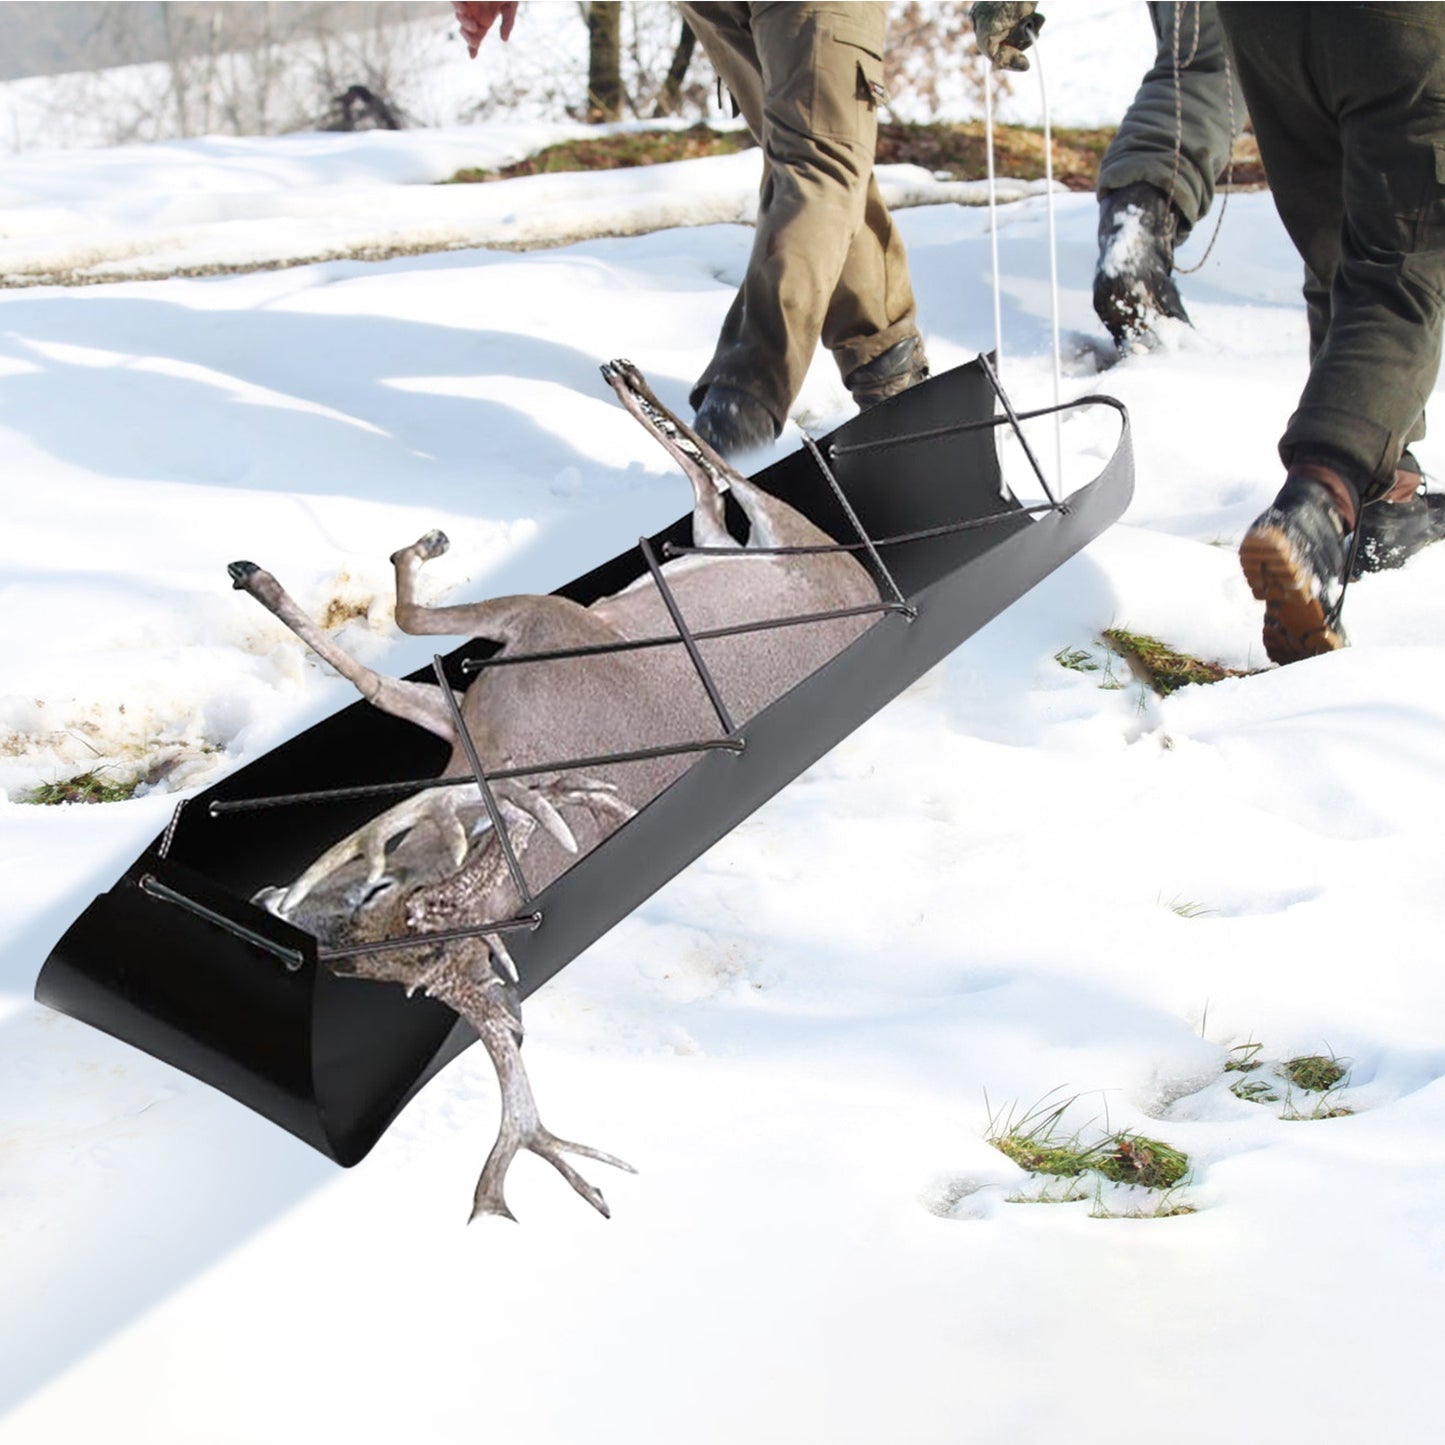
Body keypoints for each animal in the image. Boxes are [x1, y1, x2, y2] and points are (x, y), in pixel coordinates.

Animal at [228, 360, 881, 1222]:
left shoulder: (548, 622)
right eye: (354, 972)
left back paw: (629, 377)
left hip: (787, 533)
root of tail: (861, 571)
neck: (520, 758)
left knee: (729, 477)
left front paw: (292, 568)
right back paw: (625, 382)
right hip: (721, 546)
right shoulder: (465, 715)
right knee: (708, 507)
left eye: (376, 887)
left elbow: (403, 621)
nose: (275, 909)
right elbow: (376, 680)